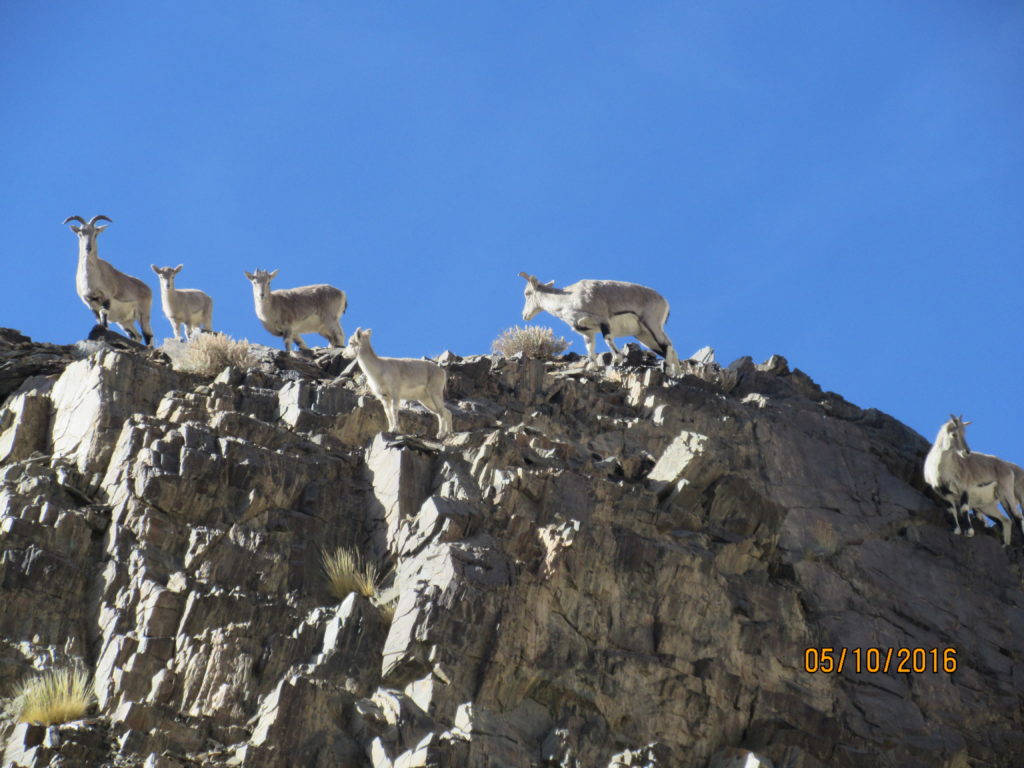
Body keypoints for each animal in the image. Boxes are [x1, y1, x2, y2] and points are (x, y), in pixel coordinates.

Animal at [61, 217, 152, 348]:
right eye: (80, 233)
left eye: (95, 233)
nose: (88, 248)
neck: (90, 279)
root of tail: (147, 288)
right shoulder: (89, 302)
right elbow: (99, 318)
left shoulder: (106, 297)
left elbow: (103, 314)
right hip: (124, 321)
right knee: (136, 335)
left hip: (143, 314)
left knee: (148, 335)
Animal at [520, 274, 679, 376]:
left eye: (527, 293)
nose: (525, 315)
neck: (567, 300)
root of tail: (665, 303)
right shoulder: (588, 333)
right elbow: (590, 347)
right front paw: (592, 366)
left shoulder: (603, 321)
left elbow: (607, 338)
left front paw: (618, 358)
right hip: (644, 336)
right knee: (668, 348)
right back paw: (677, 372)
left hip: (652, 326)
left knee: (667, 346)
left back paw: (669, 371)